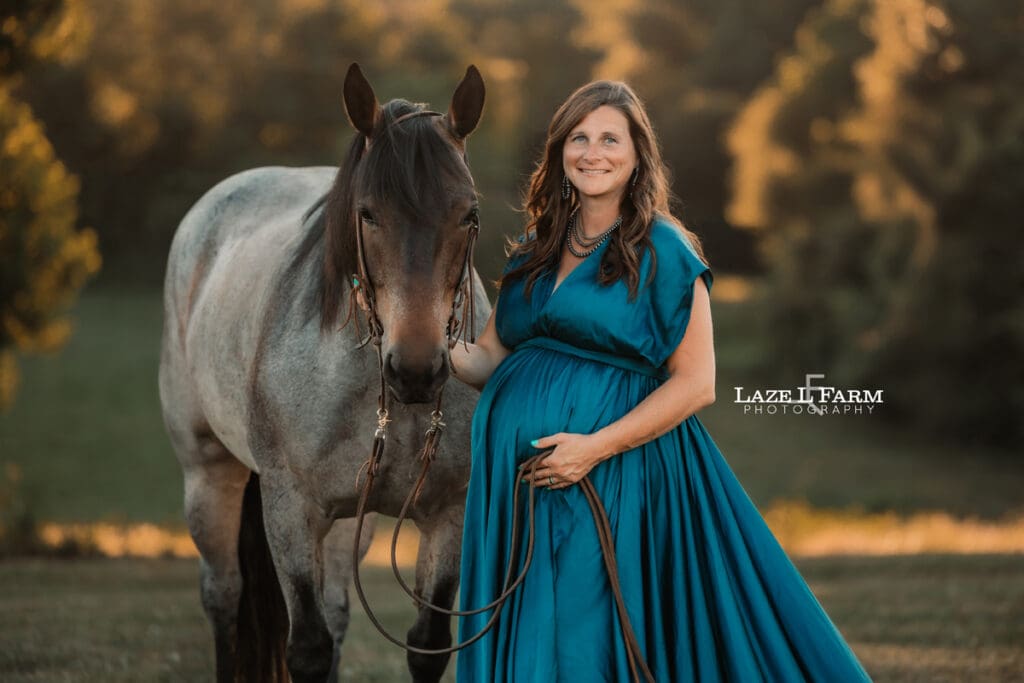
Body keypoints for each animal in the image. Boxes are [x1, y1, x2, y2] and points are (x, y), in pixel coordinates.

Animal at [158, 64, 489, 683]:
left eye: (469, 214)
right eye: (368, 213)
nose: (416, 370)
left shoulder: (450, 515)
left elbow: (425, 644)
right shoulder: (292, 509)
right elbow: (307, 646)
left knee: (334, 612)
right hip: (209, 475)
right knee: (224, 599)